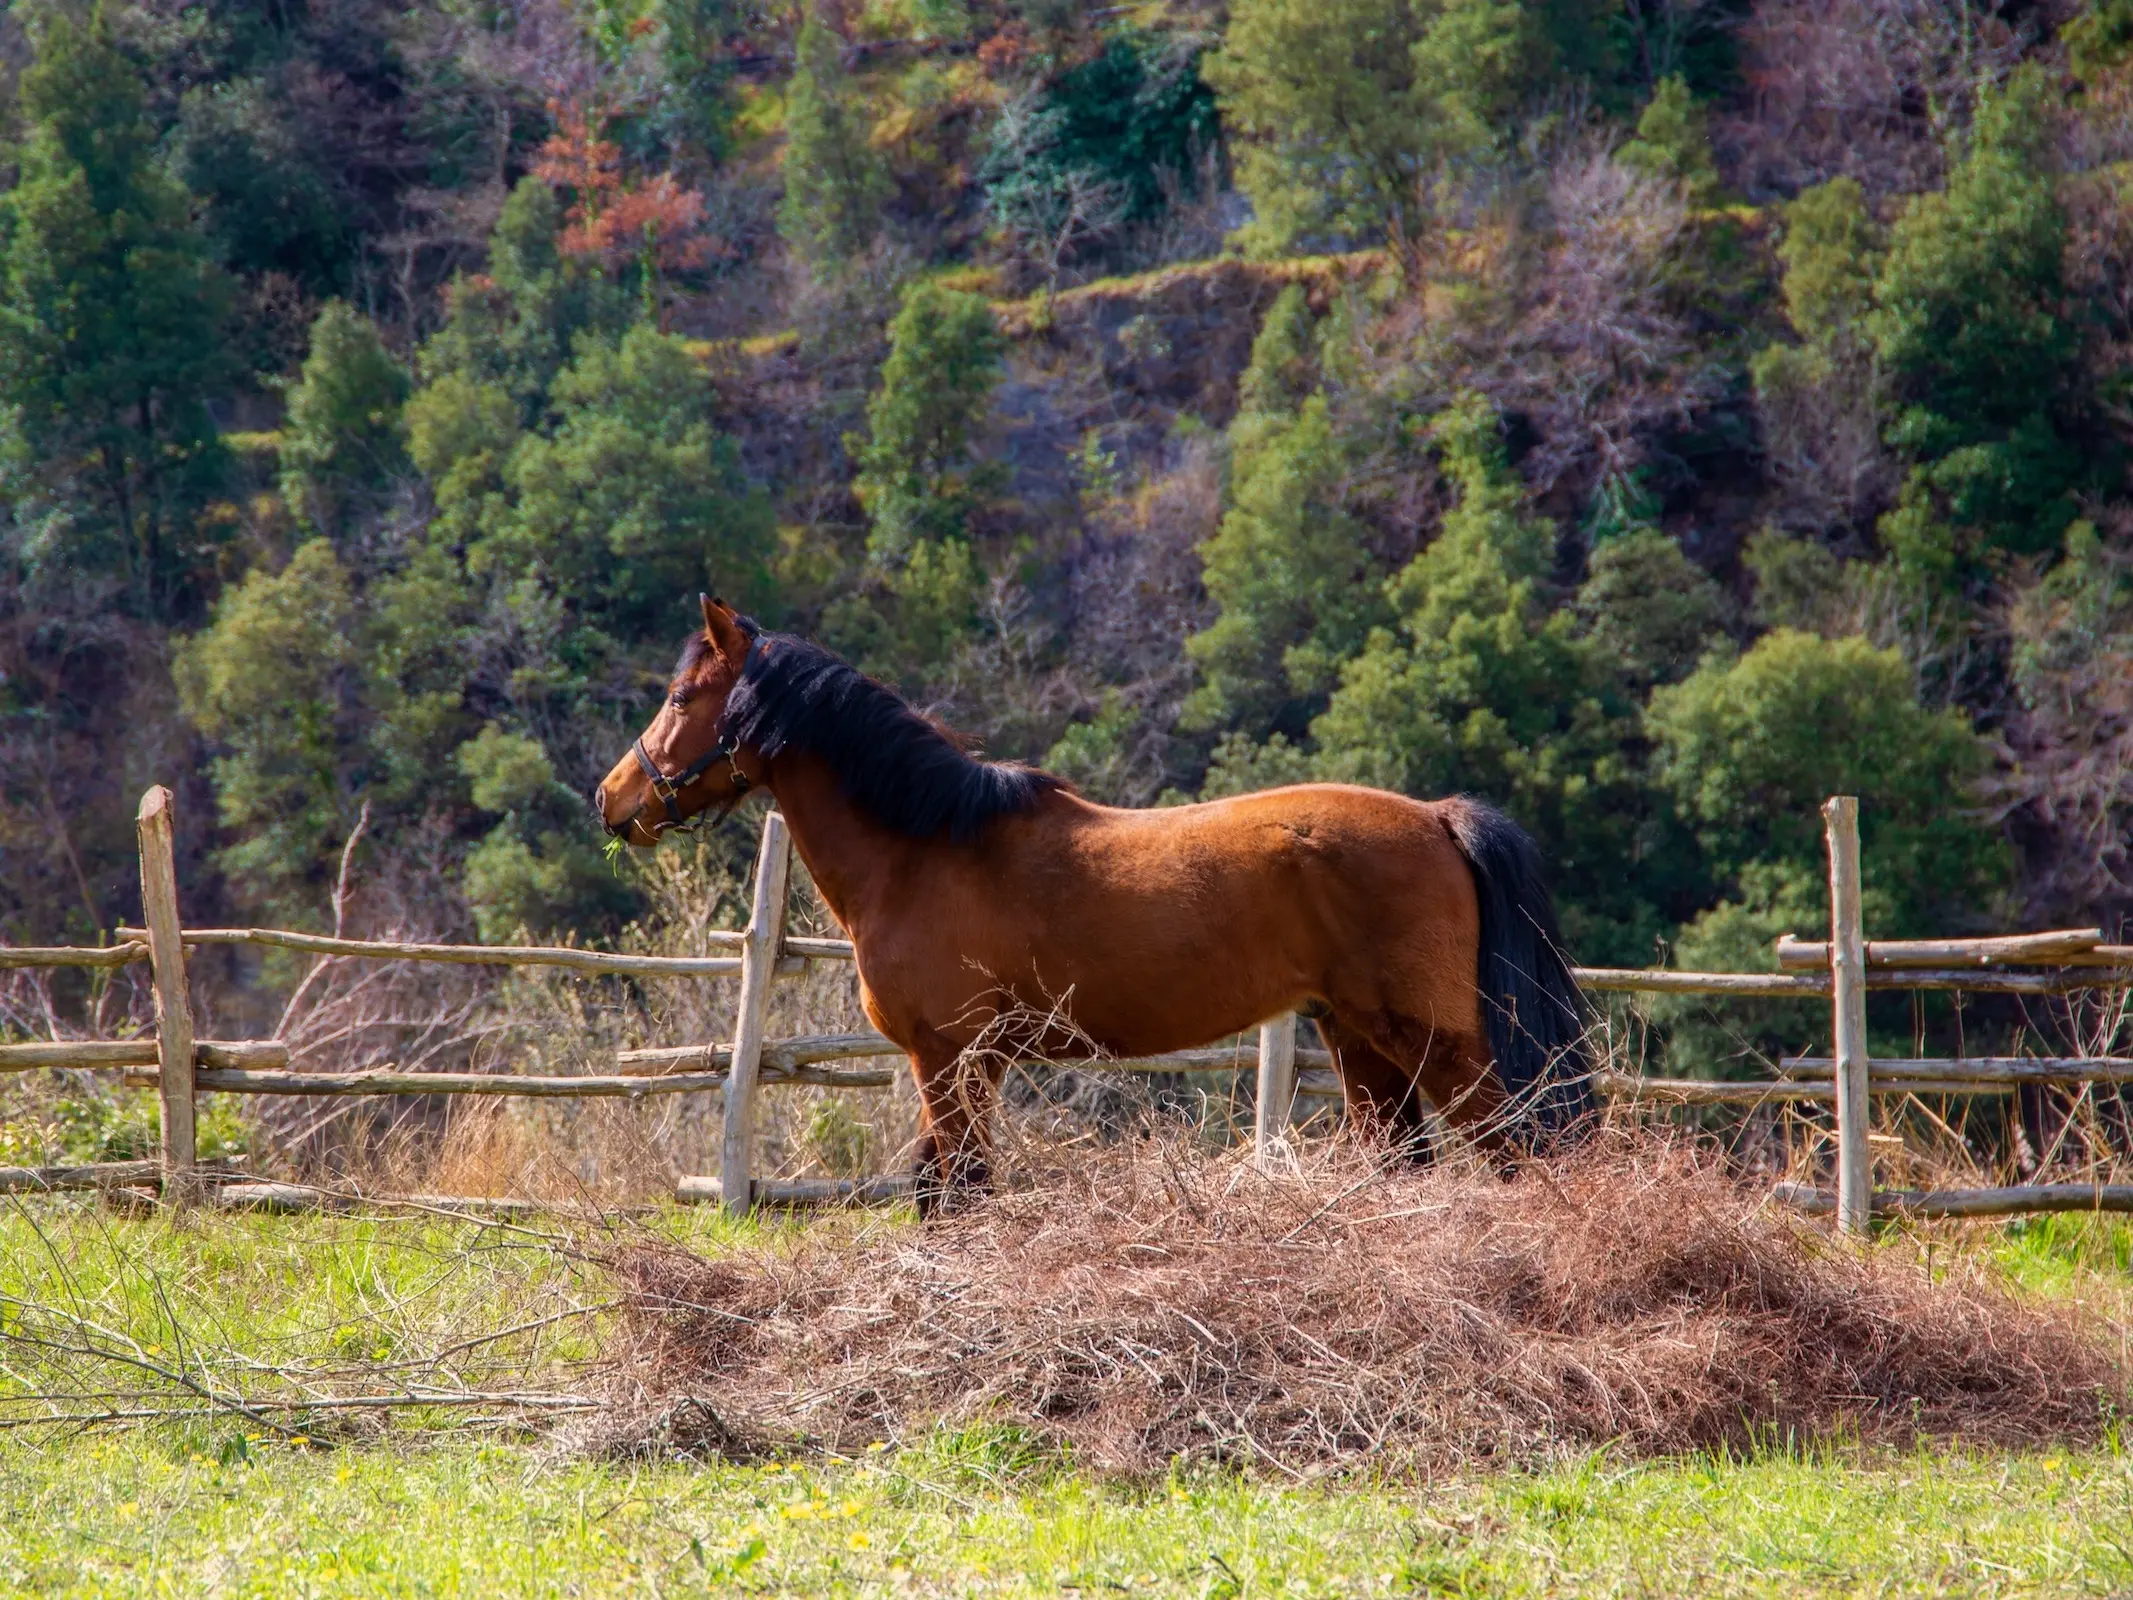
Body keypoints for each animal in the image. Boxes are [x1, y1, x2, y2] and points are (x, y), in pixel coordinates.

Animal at [595, 597, 1591, 1210]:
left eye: (682, 695)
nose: (613, 799)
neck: (925, 847)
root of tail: (1436, 817)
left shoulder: (950, 1060)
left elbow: (955, 1195)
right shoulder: (958, 1066)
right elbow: (938, 1190)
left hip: (1440, 1046)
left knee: (1517, 1152)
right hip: (1359, 1044)